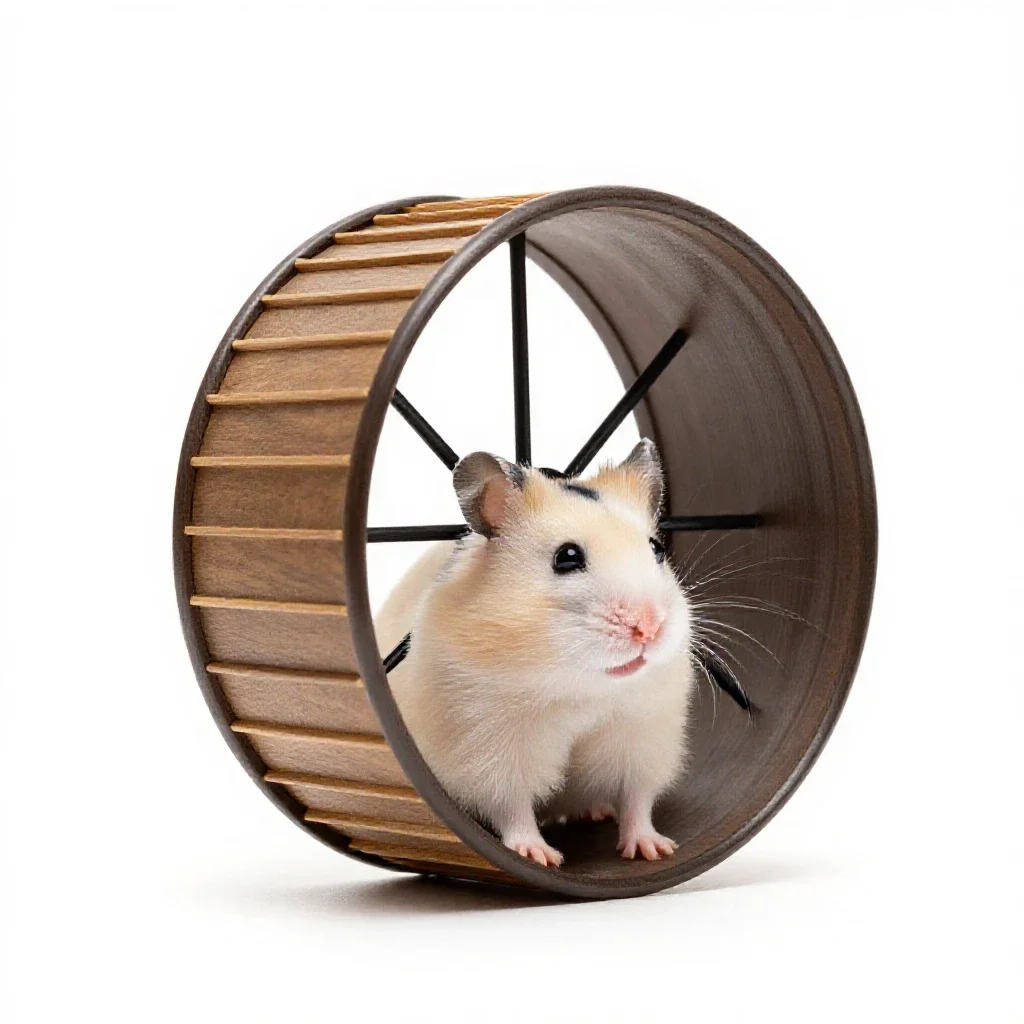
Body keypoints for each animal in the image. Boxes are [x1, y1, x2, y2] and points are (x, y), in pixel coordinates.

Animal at [374, 439, 695, 867]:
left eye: (657, 549)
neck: (578, 687)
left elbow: (636, 800)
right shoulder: (492, 747)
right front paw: (540, 857)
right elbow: (513, 807)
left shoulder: (644, 735)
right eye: (567, 557)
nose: (650, 626)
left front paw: (654, 850)